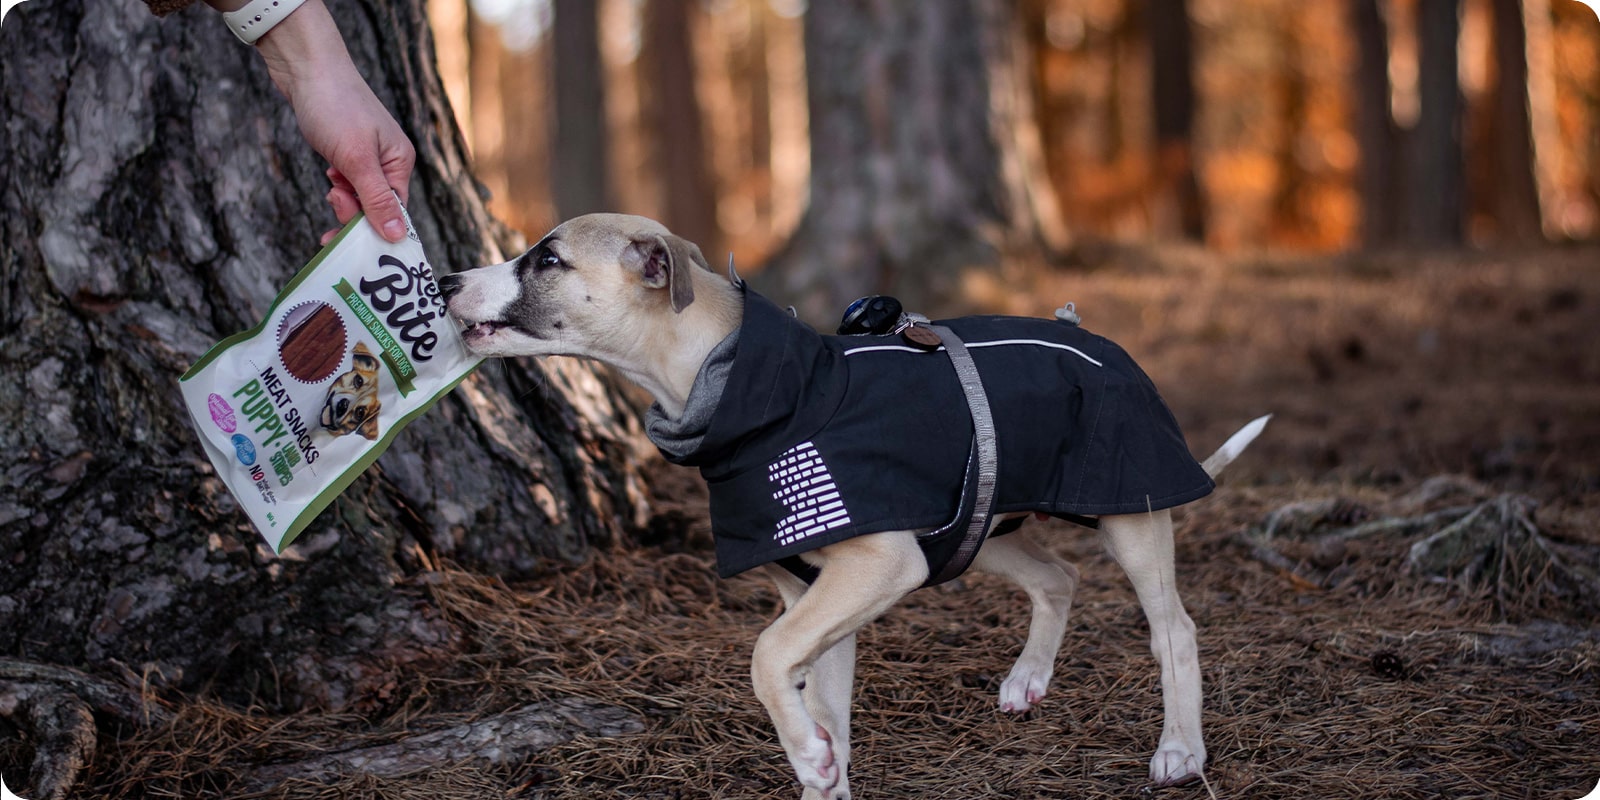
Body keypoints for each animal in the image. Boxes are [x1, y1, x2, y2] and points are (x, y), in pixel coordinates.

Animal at [438, 214, 1260, 800]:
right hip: (978, 523)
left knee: (1174, 630)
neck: (740, 388)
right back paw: (1028, 679)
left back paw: (1180, 749)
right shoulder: (818, 591)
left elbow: (767, 656)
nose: (445, 278)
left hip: (1130, 512)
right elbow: (816, 694)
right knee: (1058, 577)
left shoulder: (874, 566)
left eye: (547, 260)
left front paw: (806, 753)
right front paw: (821, 766)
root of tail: (1095, 335)